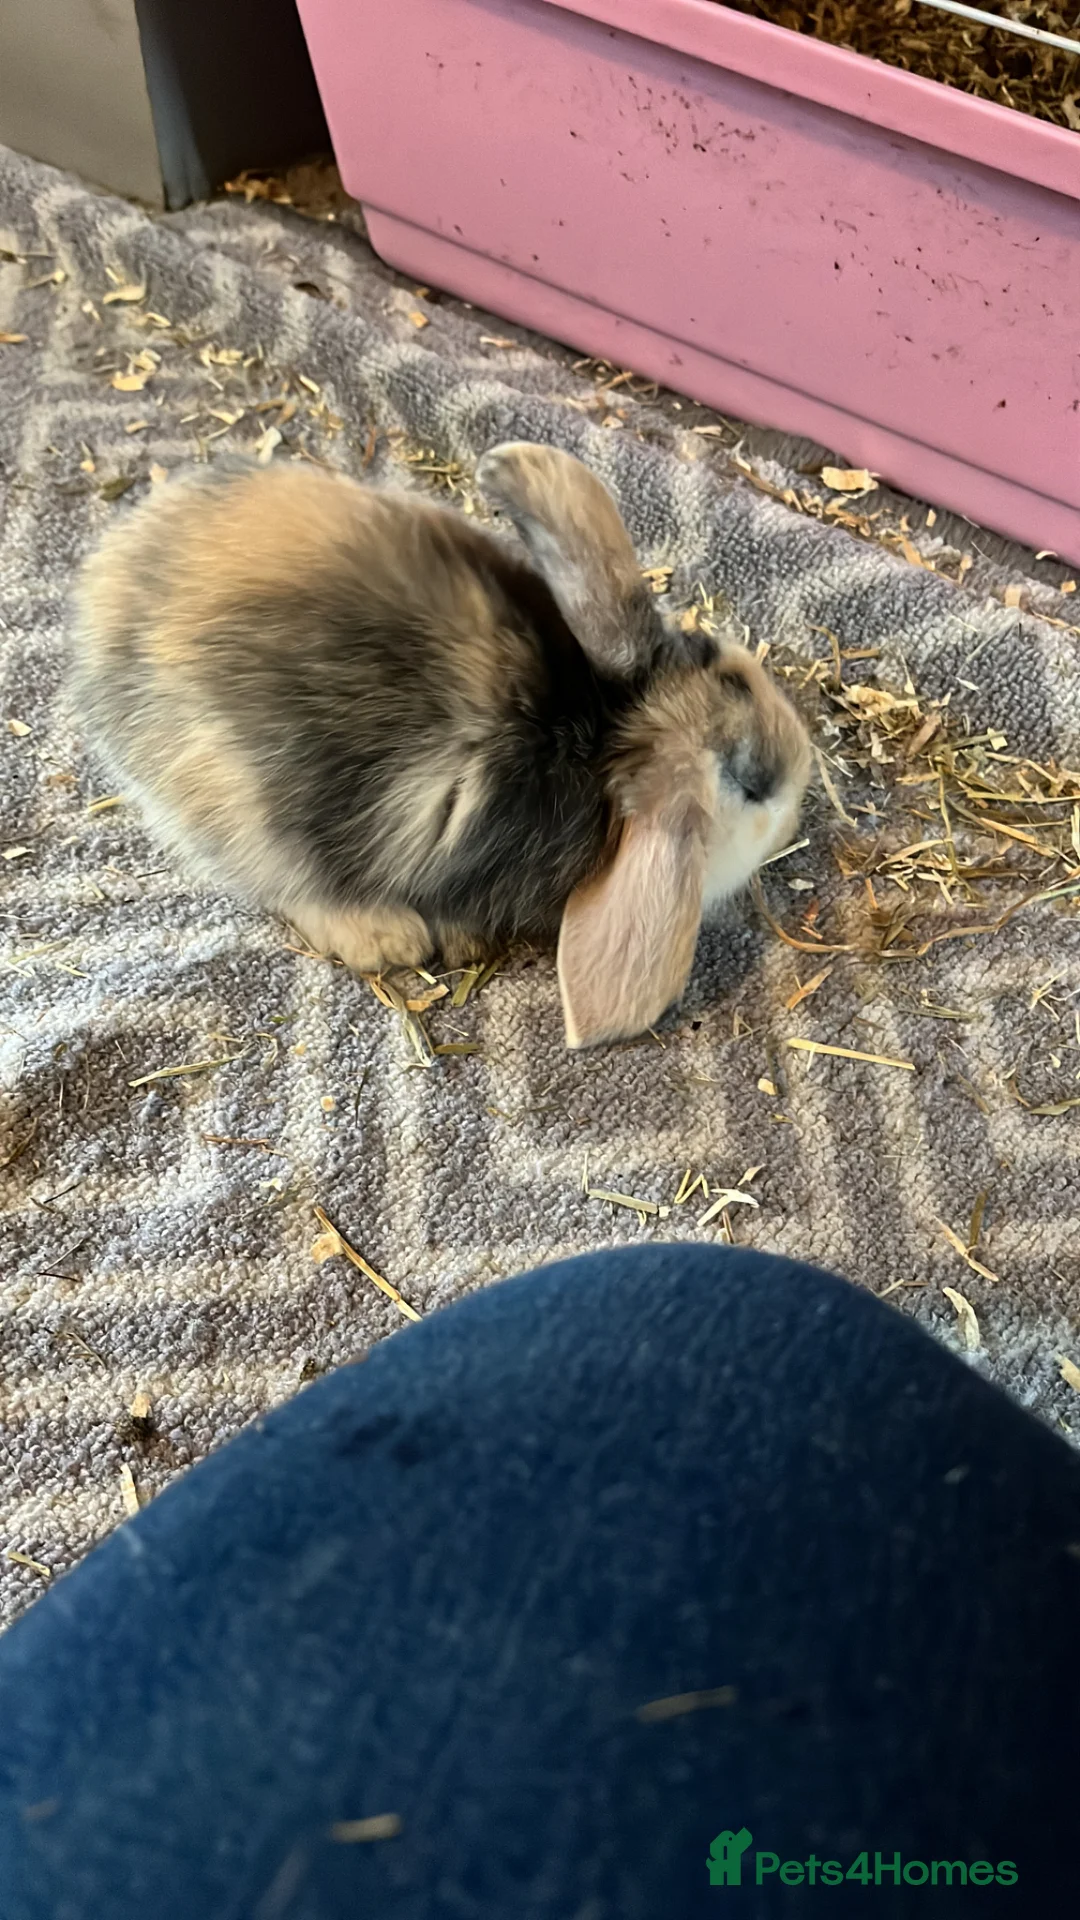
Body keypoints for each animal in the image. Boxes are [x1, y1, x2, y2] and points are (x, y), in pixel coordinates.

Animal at [70, 443, 811, 1047]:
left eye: (723, 664)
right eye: (753, 784)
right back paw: (386, 937)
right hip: (236, 806)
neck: (603, 739)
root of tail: (108, 590)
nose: (804, 775)